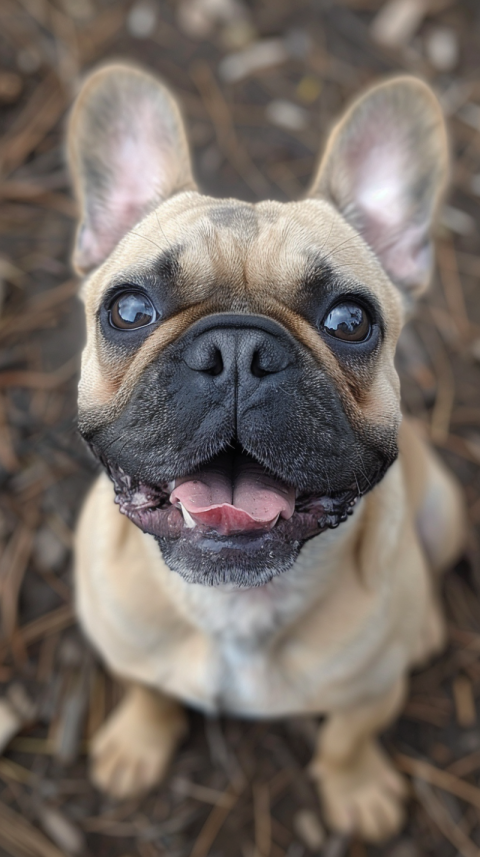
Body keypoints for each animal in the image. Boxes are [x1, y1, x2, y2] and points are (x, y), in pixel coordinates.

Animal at [69, 65, 466, 844]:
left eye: (351, 320)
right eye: (127, 309)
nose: (237, 351)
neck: (237, 607)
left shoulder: (372, 691)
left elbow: (347, 736)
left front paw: (357, 788)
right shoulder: (123, 645)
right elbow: (147, 691)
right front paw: (138, 742)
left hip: (447, 509)